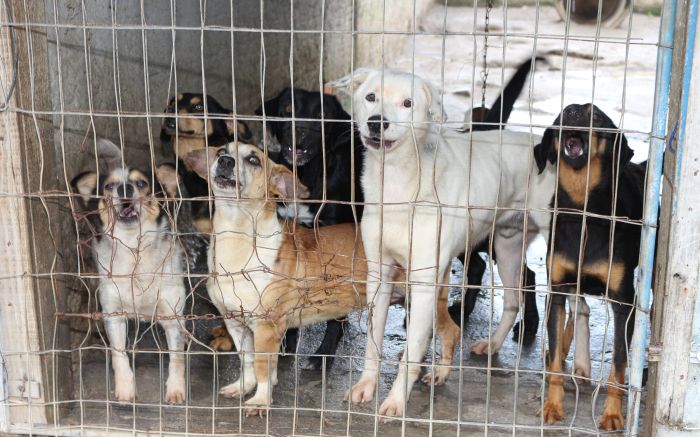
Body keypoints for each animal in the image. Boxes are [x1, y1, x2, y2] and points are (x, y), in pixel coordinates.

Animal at [71, 138, 187, 404]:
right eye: (109, 185)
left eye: (141, 183)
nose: (124, 189)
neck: (134, 249)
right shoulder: (113, 313)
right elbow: (118, 354)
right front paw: (125, 387)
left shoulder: (172, 315)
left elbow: (176, 358)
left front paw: (176, 389)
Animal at [183, 142, 462, 416]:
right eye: (221, 152)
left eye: (254, 160)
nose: (225, 162)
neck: (237, 235)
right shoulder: (236, 323)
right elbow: (248, 360)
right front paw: (244, 386)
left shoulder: (266, 326)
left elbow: (262, 366)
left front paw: (261, 400)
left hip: (426, 301)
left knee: (452, 331)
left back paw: (440, 373)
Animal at [536, 103, 644, 430]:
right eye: (561, 116)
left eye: (596, 117)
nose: (572, 112)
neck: (582, 209)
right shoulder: (557, 288)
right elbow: (557, 355)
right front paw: (552, 405)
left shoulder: (623, 303)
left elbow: (618, 366)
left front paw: (612, 414)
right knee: (577, 310)